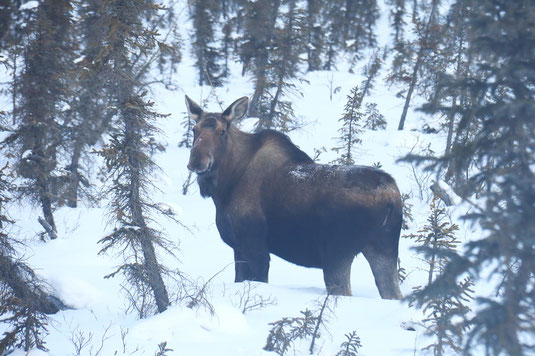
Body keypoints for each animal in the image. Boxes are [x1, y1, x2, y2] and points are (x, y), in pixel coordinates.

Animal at [186, 94, 404, 298]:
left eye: (222, 131)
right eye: (194, 130)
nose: (197, 161)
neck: (225, 186)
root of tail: (389, 197)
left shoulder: (255, 245)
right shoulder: (238, 247)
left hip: (337, 253)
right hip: (384, 248)